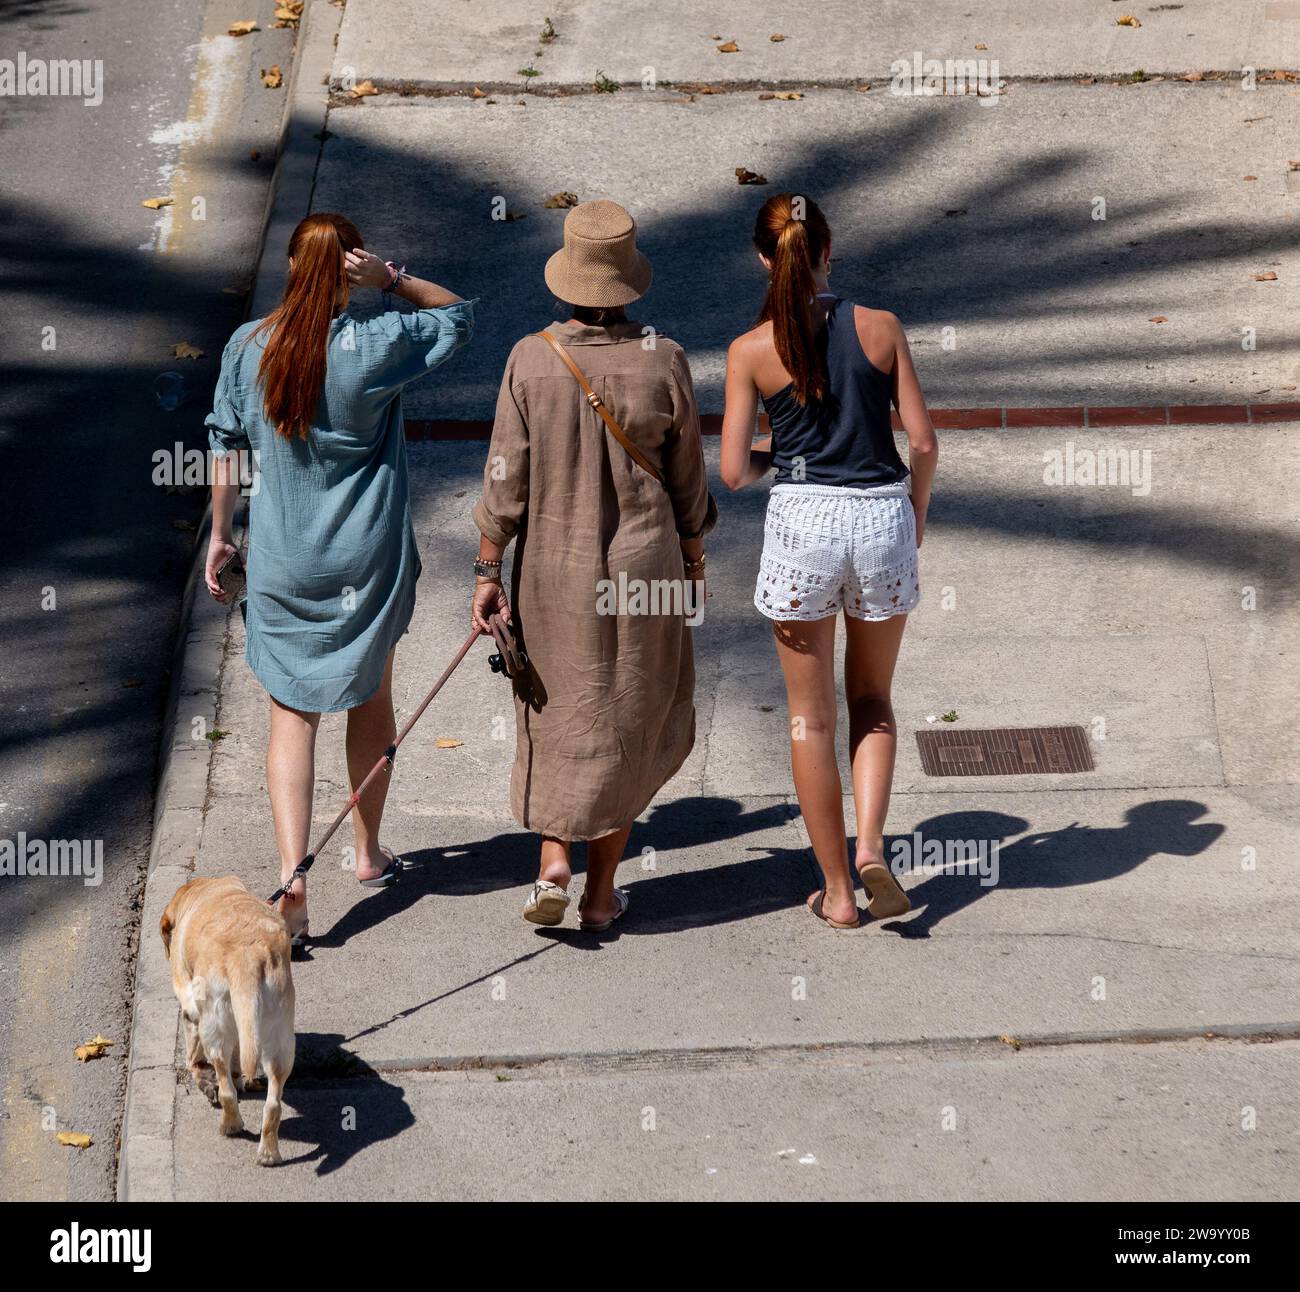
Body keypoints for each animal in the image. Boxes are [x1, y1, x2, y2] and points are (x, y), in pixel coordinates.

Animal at [161, 878, 296, 1159]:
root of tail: (247, 955)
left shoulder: (191, 1008)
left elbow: (193, 1054)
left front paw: (200, 1074)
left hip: (215, 1030)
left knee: (225, 1088)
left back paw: (230, 1124)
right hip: (280, 1037)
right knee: (273, 1102)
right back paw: (268, 1153)